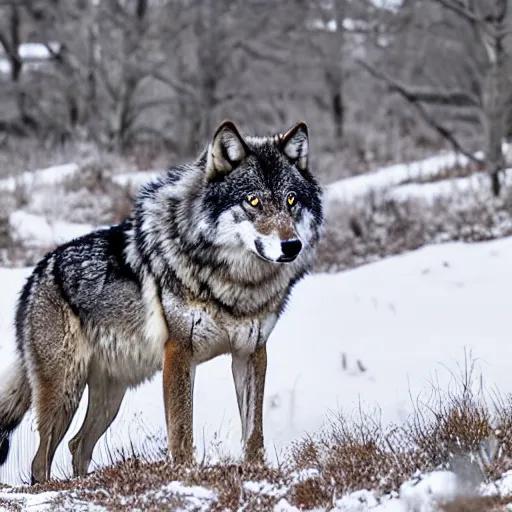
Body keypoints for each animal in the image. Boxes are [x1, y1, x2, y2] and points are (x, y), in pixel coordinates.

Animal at [0, 121, 322, 484]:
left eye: (291, 200)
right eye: (253, 201)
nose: (291, 246)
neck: (236, 286)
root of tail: (37, 273)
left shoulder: (251, 353)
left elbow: (254, 431)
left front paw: (255, 472)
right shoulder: (179, 352)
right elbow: (181, 429)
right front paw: (185, 474)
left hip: (110, 398)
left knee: (78, 444)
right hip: (65, 391)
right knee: (41, 459)